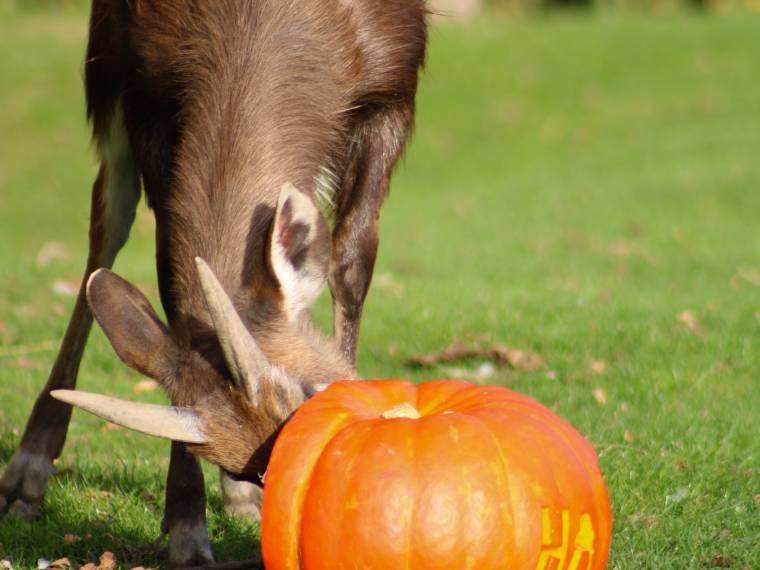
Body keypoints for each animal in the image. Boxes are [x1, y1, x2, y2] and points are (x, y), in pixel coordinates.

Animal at [0, 1, 428, 564]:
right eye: (242, 462)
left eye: (317, 390)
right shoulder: (146, 92)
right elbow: (171, 280)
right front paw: (186, 528)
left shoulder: (393, 87)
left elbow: (352, 261)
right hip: (104, 64)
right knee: (107, 218)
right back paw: (25, 474)